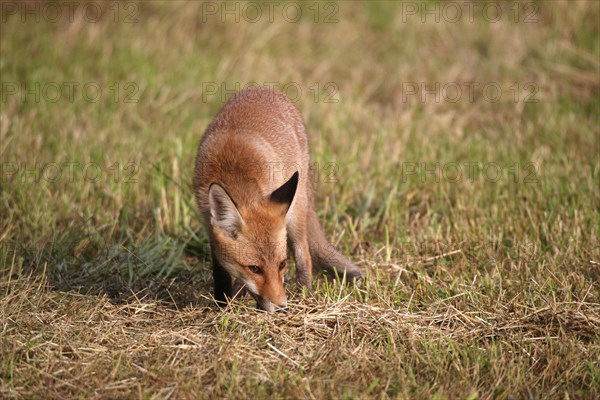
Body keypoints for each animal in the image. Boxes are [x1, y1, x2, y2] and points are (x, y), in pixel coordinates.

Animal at [195, 86, 360, 312]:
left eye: (282, 264)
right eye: (254, 268)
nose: (282, 307)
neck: (232, 171)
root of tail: (265, 89)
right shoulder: (209, 223)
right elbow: (220, 273)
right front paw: (221, 304)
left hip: (295, 210)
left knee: (304, 256)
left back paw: (306, 295)